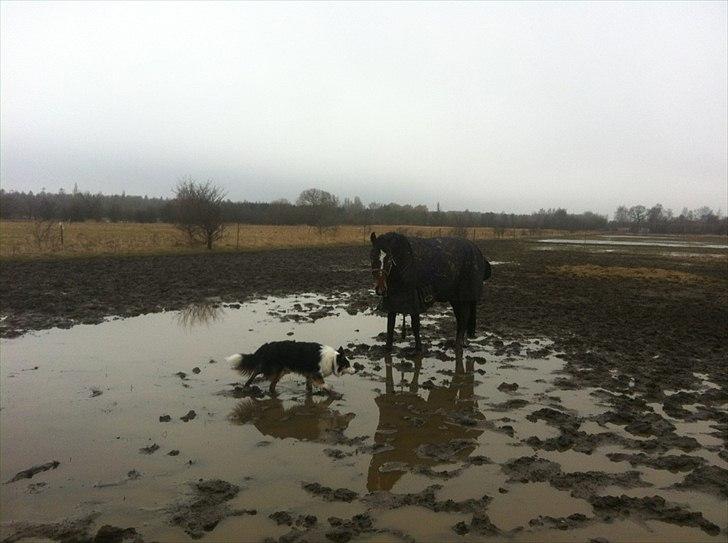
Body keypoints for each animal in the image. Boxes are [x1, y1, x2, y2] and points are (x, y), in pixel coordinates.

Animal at [225, 342, 356, 398]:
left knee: (271, 385)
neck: (333, 359)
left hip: (281, 371)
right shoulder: (315, 374)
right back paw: (246, 387)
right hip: (272, 368)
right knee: (255, 373)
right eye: (347, 364)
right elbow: (325, 385)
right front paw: (335, 394)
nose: (355, 371)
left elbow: (309, 388)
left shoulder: (309, 375)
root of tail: (263, 347)